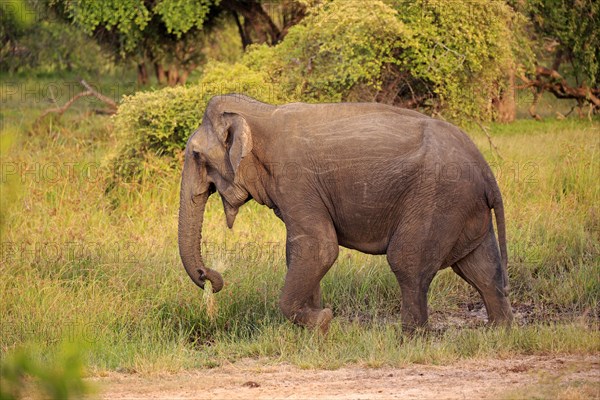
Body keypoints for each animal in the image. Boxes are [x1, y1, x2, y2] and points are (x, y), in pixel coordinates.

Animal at [177, 94, 510, 334]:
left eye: (196, 155)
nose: (210, 277)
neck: (259, 112)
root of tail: (486, 170)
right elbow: (301, 251)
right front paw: (316, 328)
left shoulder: (294, 179)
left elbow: (319, 248)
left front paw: (323, 320)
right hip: (462, 207)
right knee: (480, 269)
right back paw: (497, 332)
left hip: (438, 198)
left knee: (408, 262)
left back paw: (410, 339)